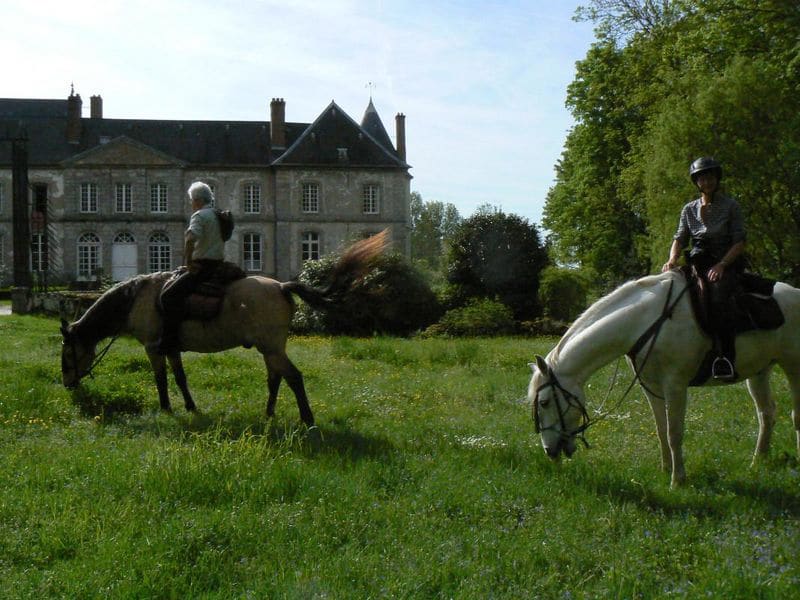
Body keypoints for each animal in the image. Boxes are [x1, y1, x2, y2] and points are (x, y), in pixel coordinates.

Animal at [60, 227, 390, 424]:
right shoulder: (172, 348)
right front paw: (190, 407)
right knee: (275, 378)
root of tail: (282, 286)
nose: (68, 385)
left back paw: (307, 419)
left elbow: (161, 380)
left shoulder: (153, 348)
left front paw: (166, 409)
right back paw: (268, 414)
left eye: (67, 353)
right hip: (270, 348)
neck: (138, 298)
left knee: (293, 377)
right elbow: (180, 378)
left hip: (272, 347)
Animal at [524, 272, 800, 488]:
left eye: (545, 402)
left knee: (794, 416)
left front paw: (678, 480)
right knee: (766, 413)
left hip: (793, 366)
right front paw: (666, 469)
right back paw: (758, 461)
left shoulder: (675, 385)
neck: (645, 322)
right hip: (759, 371)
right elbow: (660, 429)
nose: (549, 452)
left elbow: (674, 432)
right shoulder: (651, 387)